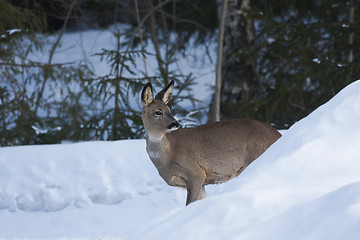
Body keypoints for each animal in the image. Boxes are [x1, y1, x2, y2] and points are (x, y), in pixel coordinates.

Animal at [141, 81, 282, 205]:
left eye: (169, 109)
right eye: (158, 112)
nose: (175, 123)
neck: (168, 155)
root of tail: (278, 134)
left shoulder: (196, 172)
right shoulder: (200, 183)